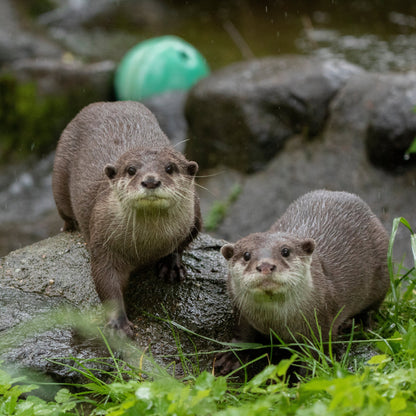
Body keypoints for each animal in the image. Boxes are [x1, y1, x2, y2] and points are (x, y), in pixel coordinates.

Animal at [52, 101, 202, 338]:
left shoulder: (194, 219)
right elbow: (107, 281)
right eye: (131, 170)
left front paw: (171, 265)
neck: (149, 245)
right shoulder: (104, 242)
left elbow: (181, 244)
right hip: (59, 177)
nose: (150, 181)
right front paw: (118, 324)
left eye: (170, 168)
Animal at [214, 190, 390, 376]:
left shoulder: (320, 321)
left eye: (285, 251)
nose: (266, 265)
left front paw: (308, 375)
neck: (275, 322)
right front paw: (232, 356)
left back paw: (357, 325)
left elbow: (316, 353)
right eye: (246, 255)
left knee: (372, 308)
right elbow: (243, 334)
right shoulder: (241, 311)